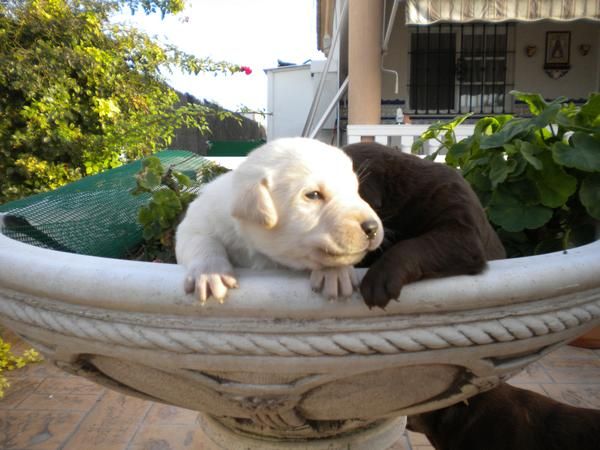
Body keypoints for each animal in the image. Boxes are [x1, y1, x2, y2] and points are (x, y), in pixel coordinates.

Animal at [176, 137, 384, 304]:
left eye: (355, 190)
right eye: (314, 195)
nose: (372, 227)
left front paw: (336, 272)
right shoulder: (197, 221)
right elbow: (201, 240)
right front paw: (211, 273)